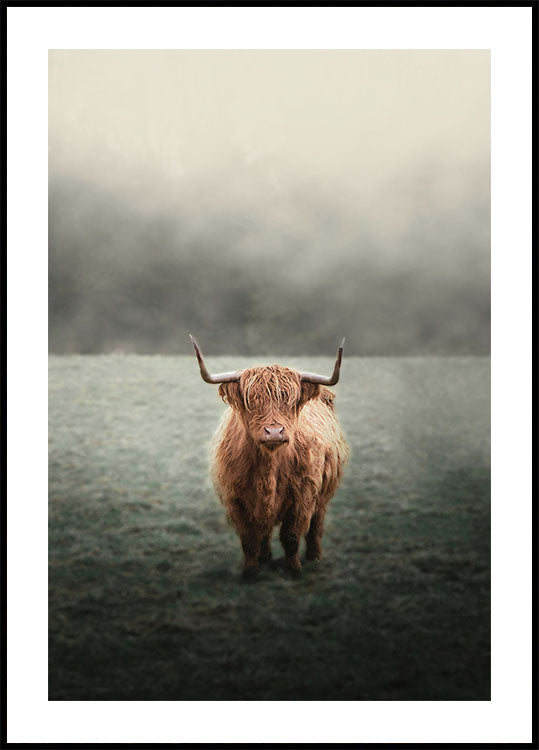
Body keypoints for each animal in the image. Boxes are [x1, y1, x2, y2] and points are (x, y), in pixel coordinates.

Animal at [190, 335, 350, 580]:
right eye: (252, 401)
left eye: (291, 401)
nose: (274, 432)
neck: (269, 466)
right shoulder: (235, 500)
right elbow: (248, 538)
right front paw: (250, 571)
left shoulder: (302, 497)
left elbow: (291, 535)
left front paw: (294, 568)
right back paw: (265, 556)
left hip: (324, 493)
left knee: (316, 524)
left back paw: (314, 556)